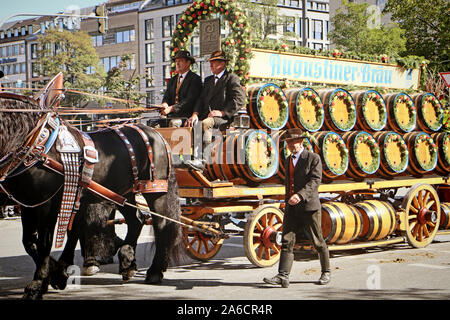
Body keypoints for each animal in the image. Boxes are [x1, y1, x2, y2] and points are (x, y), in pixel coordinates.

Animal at [0, 92, 183, 300]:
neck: (36, 142)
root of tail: (155, 133)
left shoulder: (47, 204)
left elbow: (44, 243)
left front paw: (38, 284)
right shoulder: (28, 203)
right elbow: (29, 242)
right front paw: (56, 275)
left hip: (156, 191)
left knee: (162, 226)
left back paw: (155, 271)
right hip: (122, 193)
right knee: (137, 220)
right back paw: (128, 262)